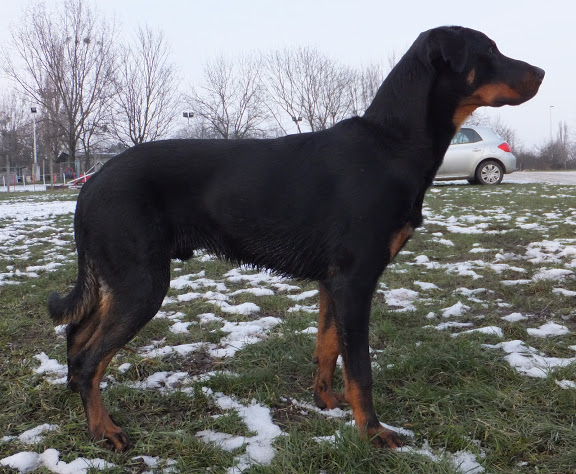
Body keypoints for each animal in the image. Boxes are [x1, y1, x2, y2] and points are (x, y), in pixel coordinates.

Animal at [48, 26, 544, 452]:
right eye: (489, 51)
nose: (542, 73)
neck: (391, 143)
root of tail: (91, 181)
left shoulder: (333, 283)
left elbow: (327, 349)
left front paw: (326, 404)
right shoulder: (355, 281)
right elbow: (360, 369)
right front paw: (373, 432)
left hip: (120, 280)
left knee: (77, 337)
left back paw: (76, 400)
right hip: (142, 282)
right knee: (91, 358)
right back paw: (104, 430)